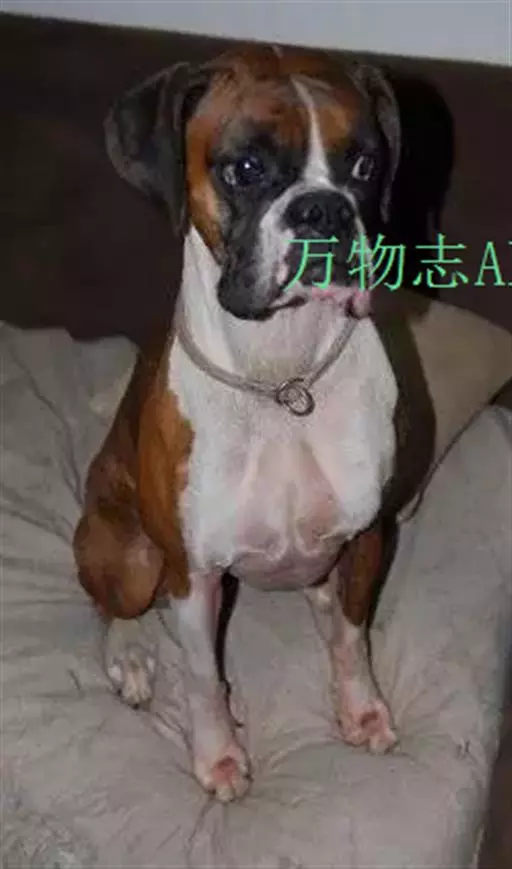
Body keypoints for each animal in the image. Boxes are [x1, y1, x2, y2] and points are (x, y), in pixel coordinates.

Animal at [74, 44, 402, 802]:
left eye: (365, 165)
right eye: (246, 169)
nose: (323, 209)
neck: (283, 380)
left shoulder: (369, 535)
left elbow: (352, 637)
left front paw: (361, 707)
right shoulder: (193, 575)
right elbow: (201, 678)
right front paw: (219, 754)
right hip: (132, 555)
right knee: (112, 603)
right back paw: (130, 653)